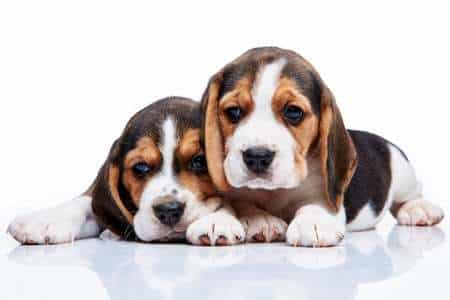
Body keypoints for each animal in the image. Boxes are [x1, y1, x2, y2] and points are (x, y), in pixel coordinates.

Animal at [7, 97, 244, 245]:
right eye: (140, 167)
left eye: (199, 161)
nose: (168, 210)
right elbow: (86, 202)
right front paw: (44, 220)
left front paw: (218, 221)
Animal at [200, 48, 442, 247]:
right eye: (233, 111)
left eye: (293, 111)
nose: (258, 156)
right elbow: (238, 202)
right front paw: (241, 219)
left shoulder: (324, 195)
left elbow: (313, 206)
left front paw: (312, 224)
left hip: (403, 173)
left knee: (411, 194)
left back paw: (419, 209)